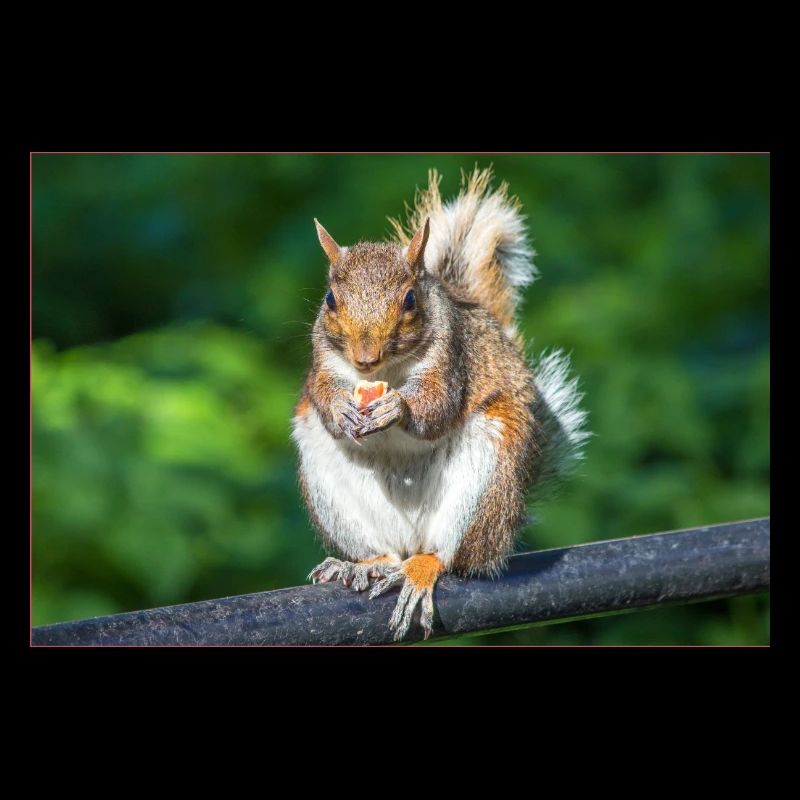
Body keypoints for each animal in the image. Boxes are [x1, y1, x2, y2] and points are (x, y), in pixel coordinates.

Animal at [292, 167, 588, 641]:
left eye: (410, 299)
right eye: (330, 299)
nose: (364, 358)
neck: (388, 372)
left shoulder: (452, 357)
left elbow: (436, 406)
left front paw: (398, 409)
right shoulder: (323, 360)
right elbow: (322, 394)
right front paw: (340, 409)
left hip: (486, 479)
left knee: (449, 556)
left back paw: (421, 570)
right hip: (328, 480)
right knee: (384, 550)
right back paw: (366, 564)